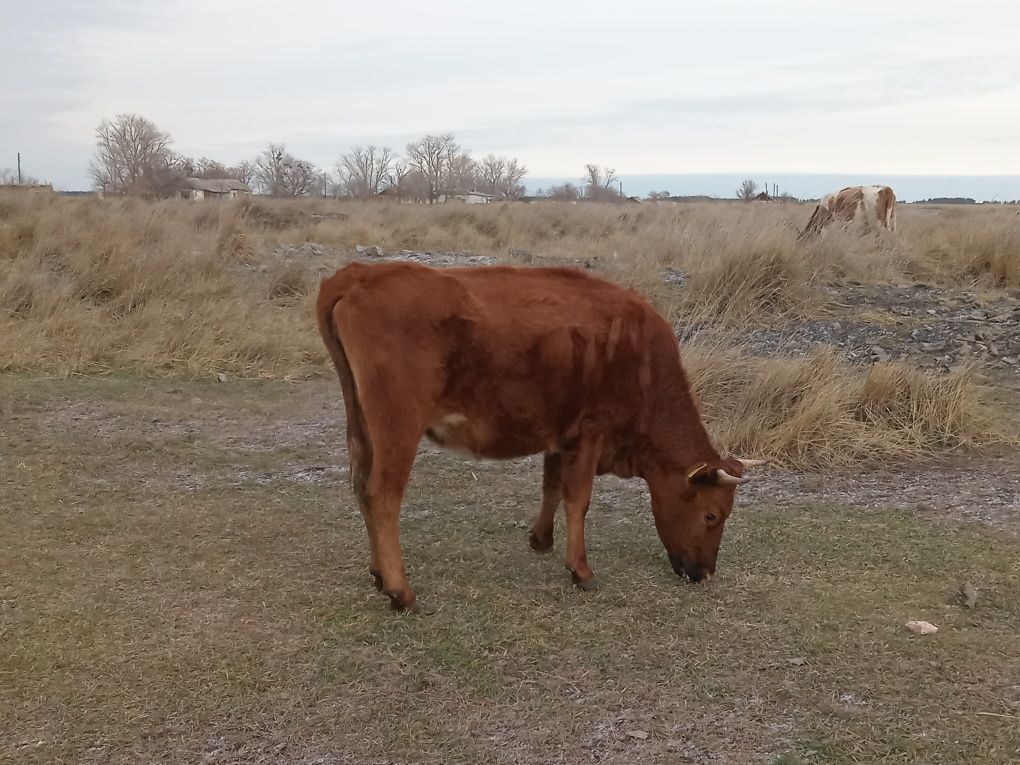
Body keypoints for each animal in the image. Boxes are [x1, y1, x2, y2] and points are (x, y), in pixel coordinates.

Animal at [318, 263, 767, 612]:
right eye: (712, 515)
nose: (705, 573)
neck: (641, 361)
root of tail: (359, 274)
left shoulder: (560, 435)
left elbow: (551, 487)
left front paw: (541, 540)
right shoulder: (590, 434)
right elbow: (578, 500)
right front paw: (581, 571)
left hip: (362, 427)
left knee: (361, 488)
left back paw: (379, 575)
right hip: (397, 428)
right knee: (382, 496)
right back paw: (400, 592)